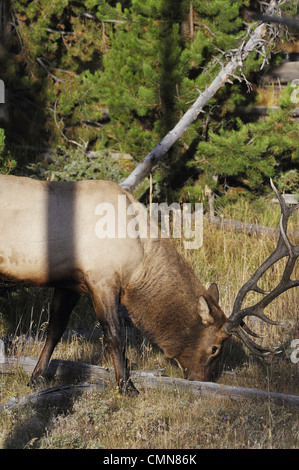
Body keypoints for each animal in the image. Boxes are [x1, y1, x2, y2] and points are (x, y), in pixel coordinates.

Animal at [0, 174, 298, 392]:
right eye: (215, 347)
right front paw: (127, 386)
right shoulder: (102, 280)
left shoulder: (70, 283)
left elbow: (55, 329)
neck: (138, 264)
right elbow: (114, 335)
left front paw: (37, 378)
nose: (207, 379)